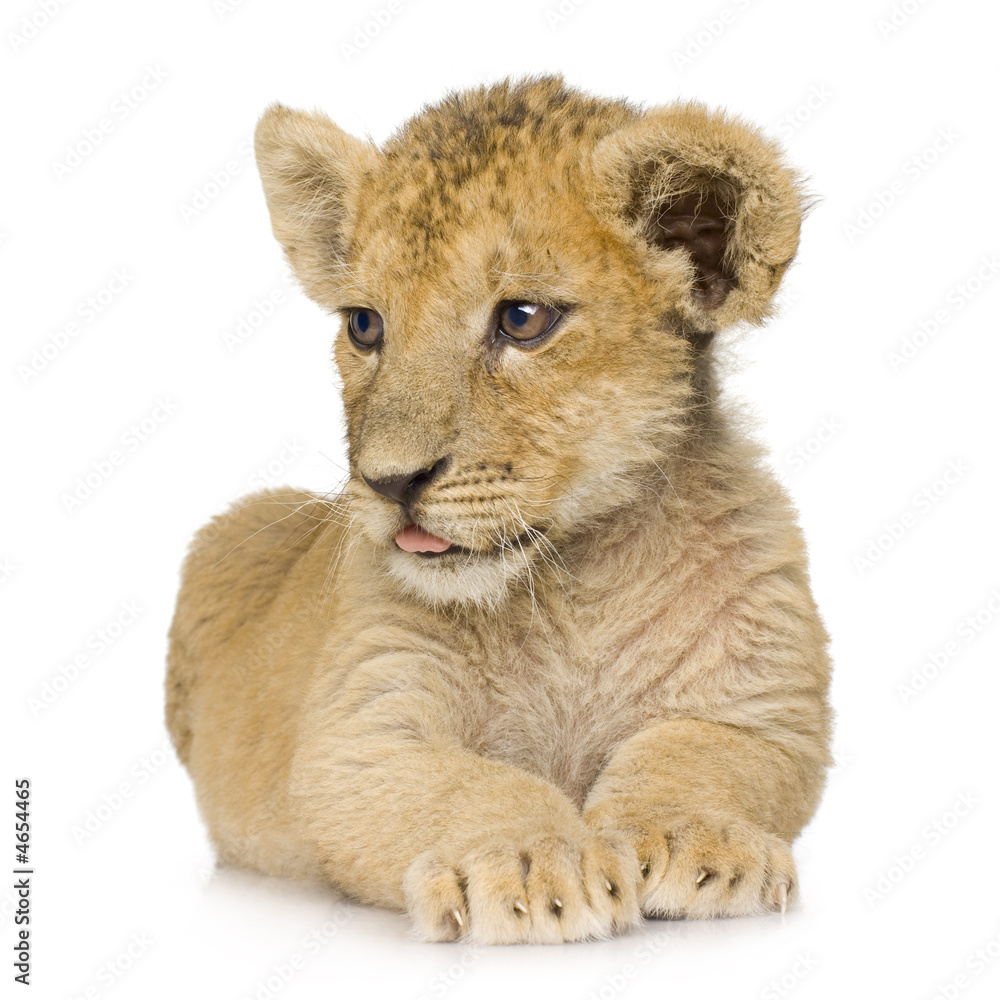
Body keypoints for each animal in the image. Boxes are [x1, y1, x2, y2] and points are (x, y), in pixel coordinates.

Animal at [166, 75, 832, 945]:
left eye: (522, 320)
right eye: (365, 325)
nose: (389, 482)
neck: (577, 580)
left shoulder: (764, 704)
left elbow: (701, 755)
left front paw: (698, 840)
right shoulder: (362, 730)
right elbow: (467, 788)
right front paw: (534, 859)